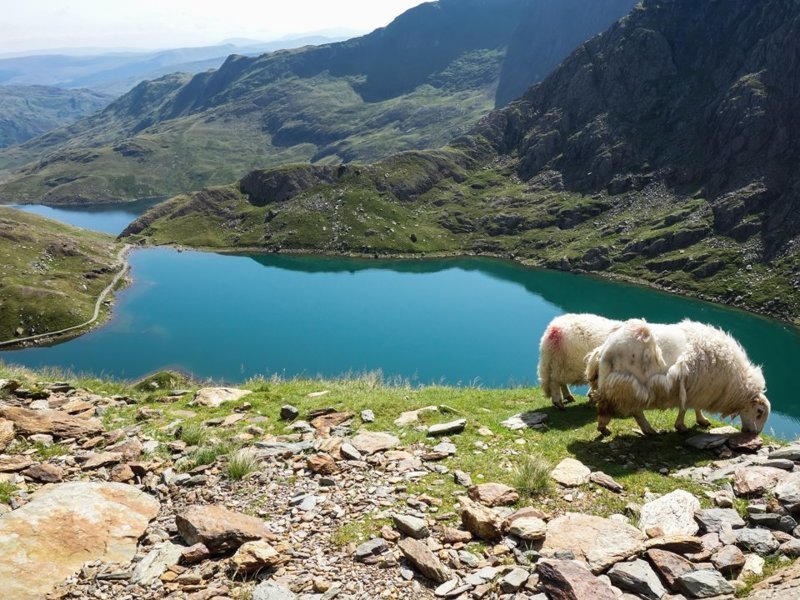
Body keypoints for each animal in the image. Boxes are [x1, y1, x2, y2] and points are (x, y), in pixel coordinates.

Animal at [588, 318, 768, 436]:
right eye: (759, 412)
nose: (755, 433)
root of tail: (606, 351)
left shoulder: (697, 387)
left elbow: (694, 407)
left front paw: (701, 420)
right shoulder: (695, 387)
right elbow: (685, 408)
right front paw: (682, 426)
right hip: (630, 384)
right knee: (634, 409)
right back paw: (641, 429)